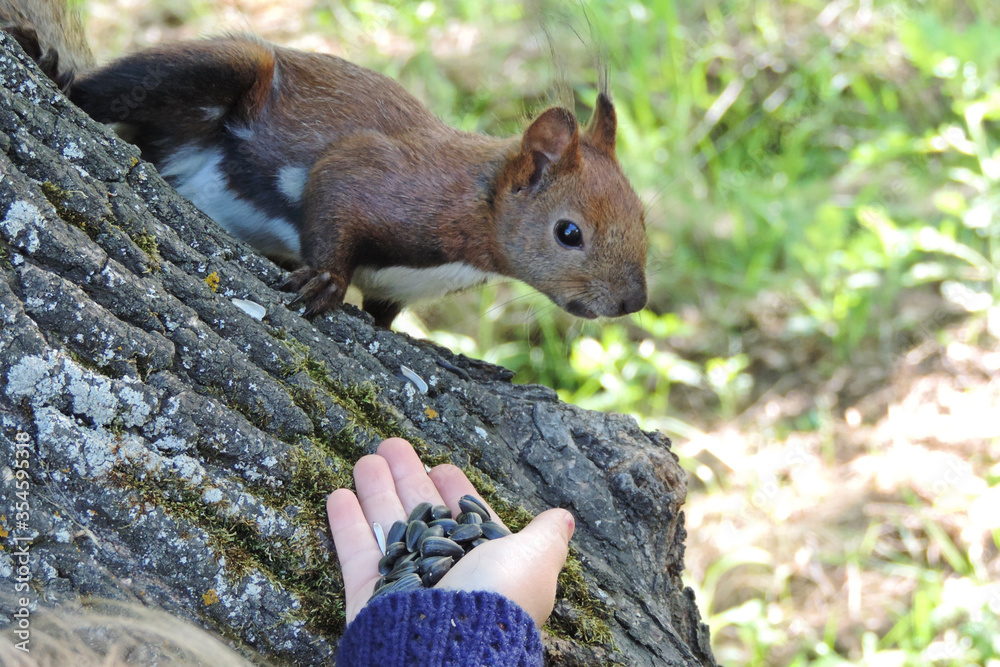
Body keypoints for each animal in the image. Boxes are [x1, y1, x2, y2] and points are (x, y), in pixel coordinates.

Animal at [1, 1, 648, 329]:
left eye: (643, 218)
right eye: (569, 232)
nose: (633, 303)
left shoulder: (396, 288)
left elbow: (384, 313)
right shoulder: (376, 172)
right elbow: (333, 197)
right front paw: (325, 282)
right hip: (222, 68)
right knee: (102, 93)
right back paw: (52, 70)